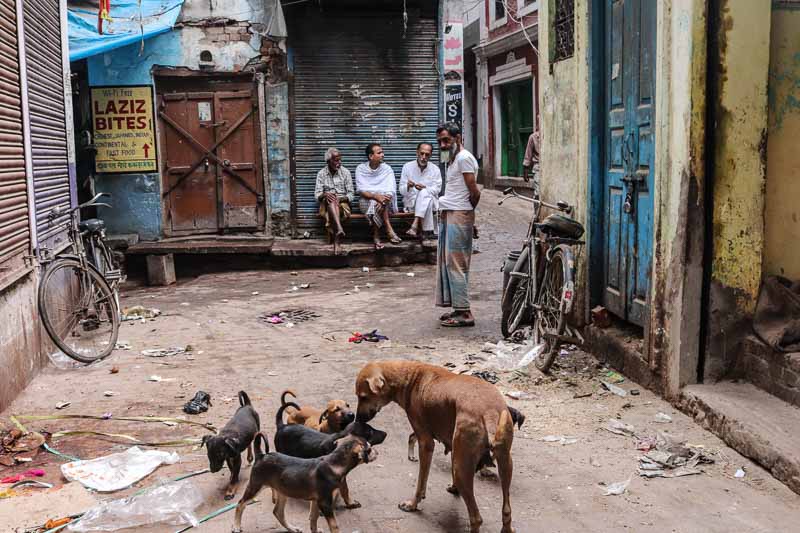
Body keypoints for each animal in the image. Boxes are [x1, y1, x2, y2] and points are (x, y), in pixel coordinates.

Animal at [231, 432, 378, 532]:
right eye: (369, 449)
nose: (377, 452)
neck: (334, 463)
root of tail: (261, 455)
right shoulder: (325, 503)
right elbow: (334, 525)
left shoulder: (316, 501)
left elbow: (313, 519)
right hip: (255, 486)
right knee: (240, 504)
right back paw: (236, 526)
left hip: (282, 491)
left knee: (278, 512)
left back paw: (292, 528)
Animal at [356, 360, 520, 528]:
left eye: (363, 397)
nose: (357, 419)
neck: (410, 377)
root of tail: (489, 411)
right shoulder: (455, 447)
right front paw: (454, 489)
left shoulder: (426, 443)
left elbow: (421, 482)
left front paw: (412, 504)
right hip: (506, 464)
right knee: (506, 512)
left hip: (462, 469)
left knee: (476, 518)